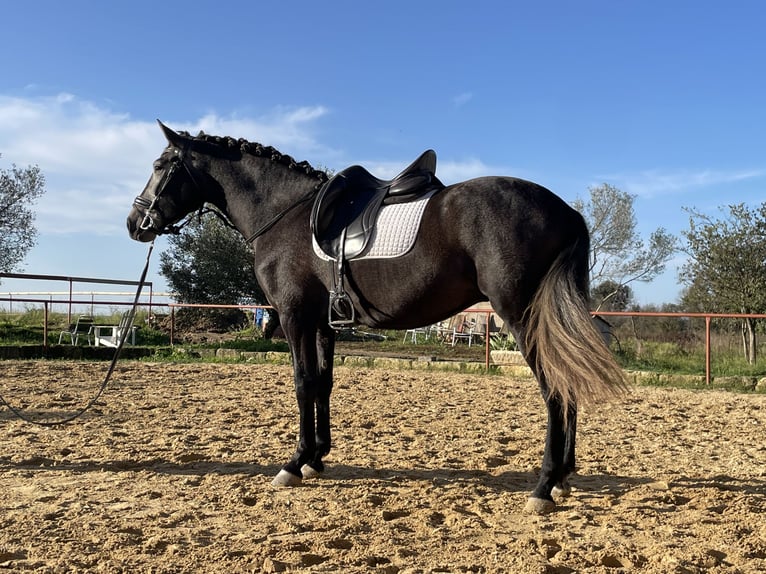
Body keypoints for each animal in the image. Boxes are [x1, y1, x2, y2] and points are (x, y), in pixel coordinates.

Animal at [127, 122, 632, 516]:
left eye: (160, 165)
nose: (136, 223)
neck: (286, 215)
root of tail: (566, 212)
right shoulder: (324, 323)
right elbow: (323, 384)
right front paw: (316, 458)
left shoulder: (294, 316)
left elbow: (302, 383)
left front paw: (293, 463)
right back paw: (562, 478)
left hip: (524, 318)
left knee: (555, 388)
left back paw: (544, 486)